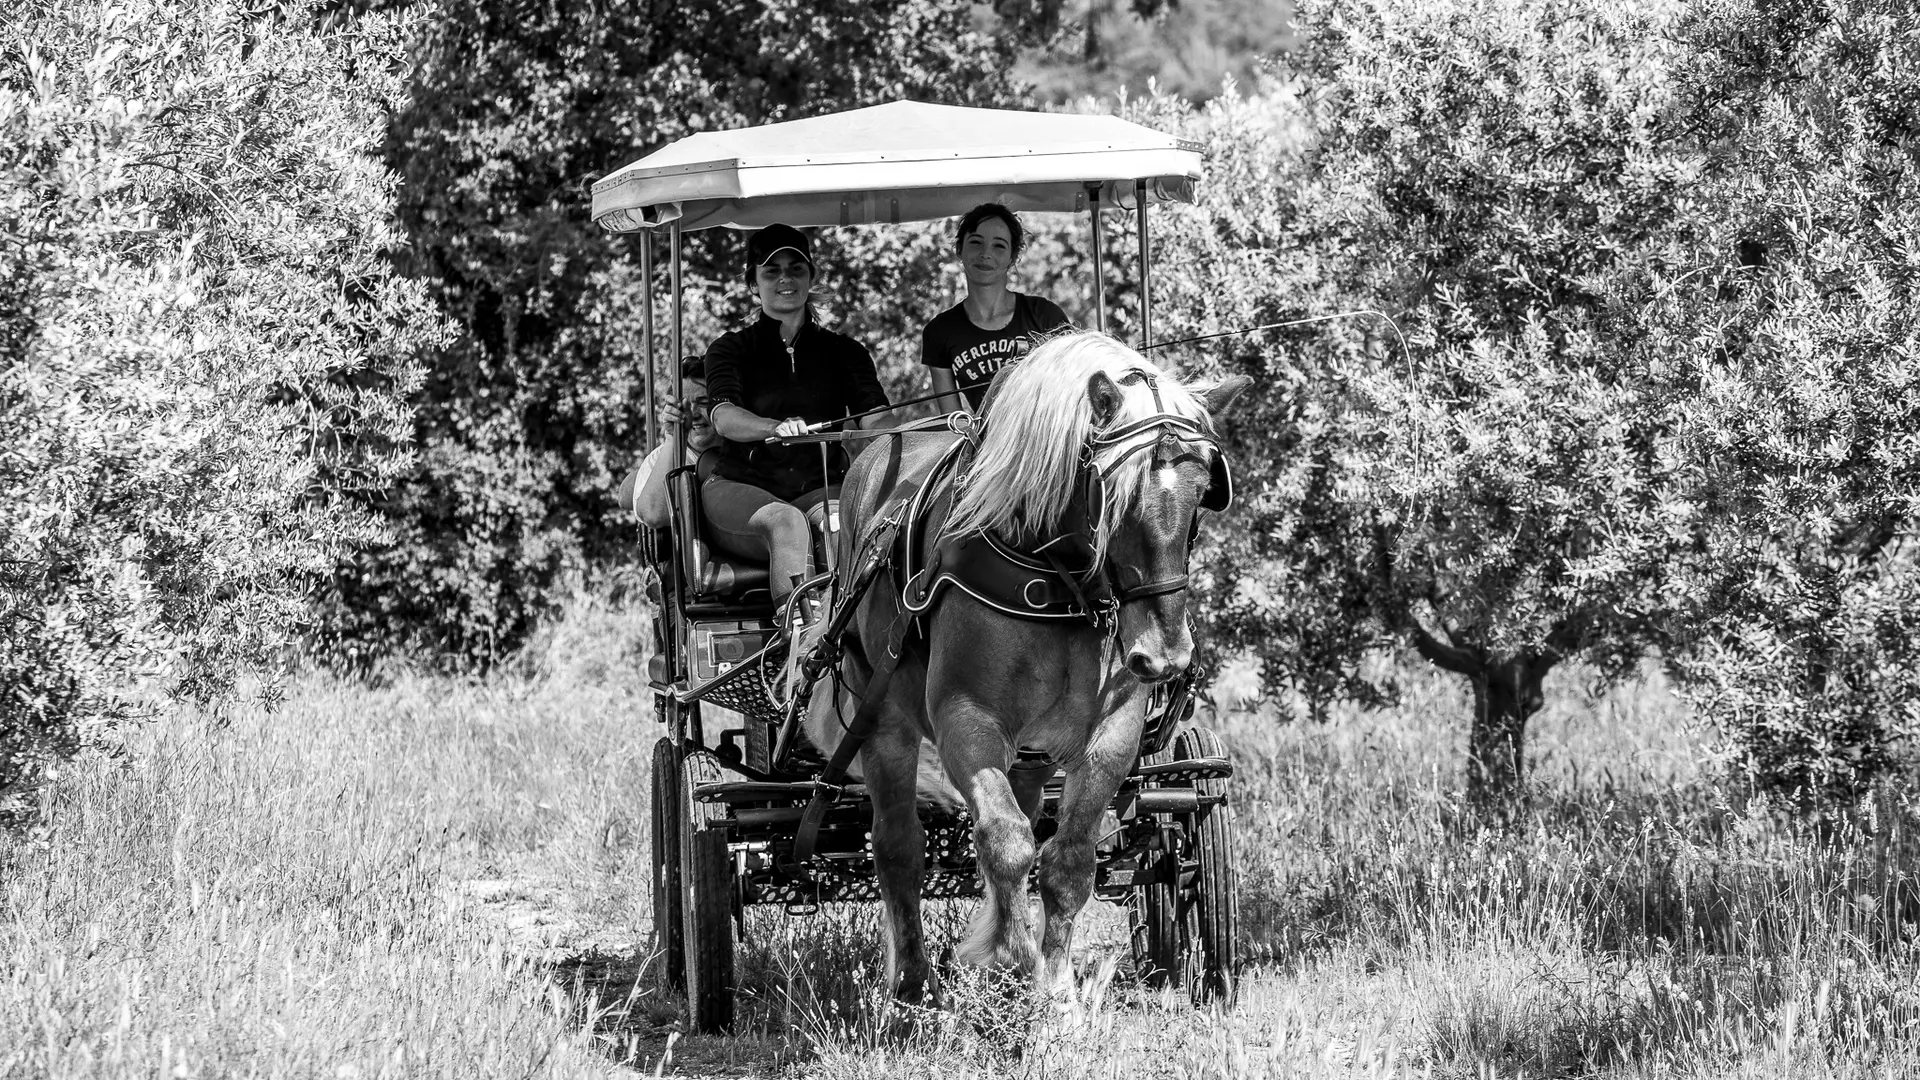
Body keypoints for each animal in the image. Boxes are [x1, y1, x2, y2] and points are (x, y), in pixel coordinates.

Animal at [806, 332, 1244, 1006]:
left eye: (1202, 495)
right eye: (1114, 500)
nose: (1164, 655)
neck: (1055, 578)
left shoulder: (1112, 734)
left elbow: (1067, 859)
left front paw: (1055, 984)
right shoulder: (965, 719)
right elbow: (1007, 842)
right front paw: (1012, 963)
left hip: (1032, 752)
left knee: (1029, 812)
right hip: (883, 723)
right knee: (898, 845)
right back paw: (913, 983)